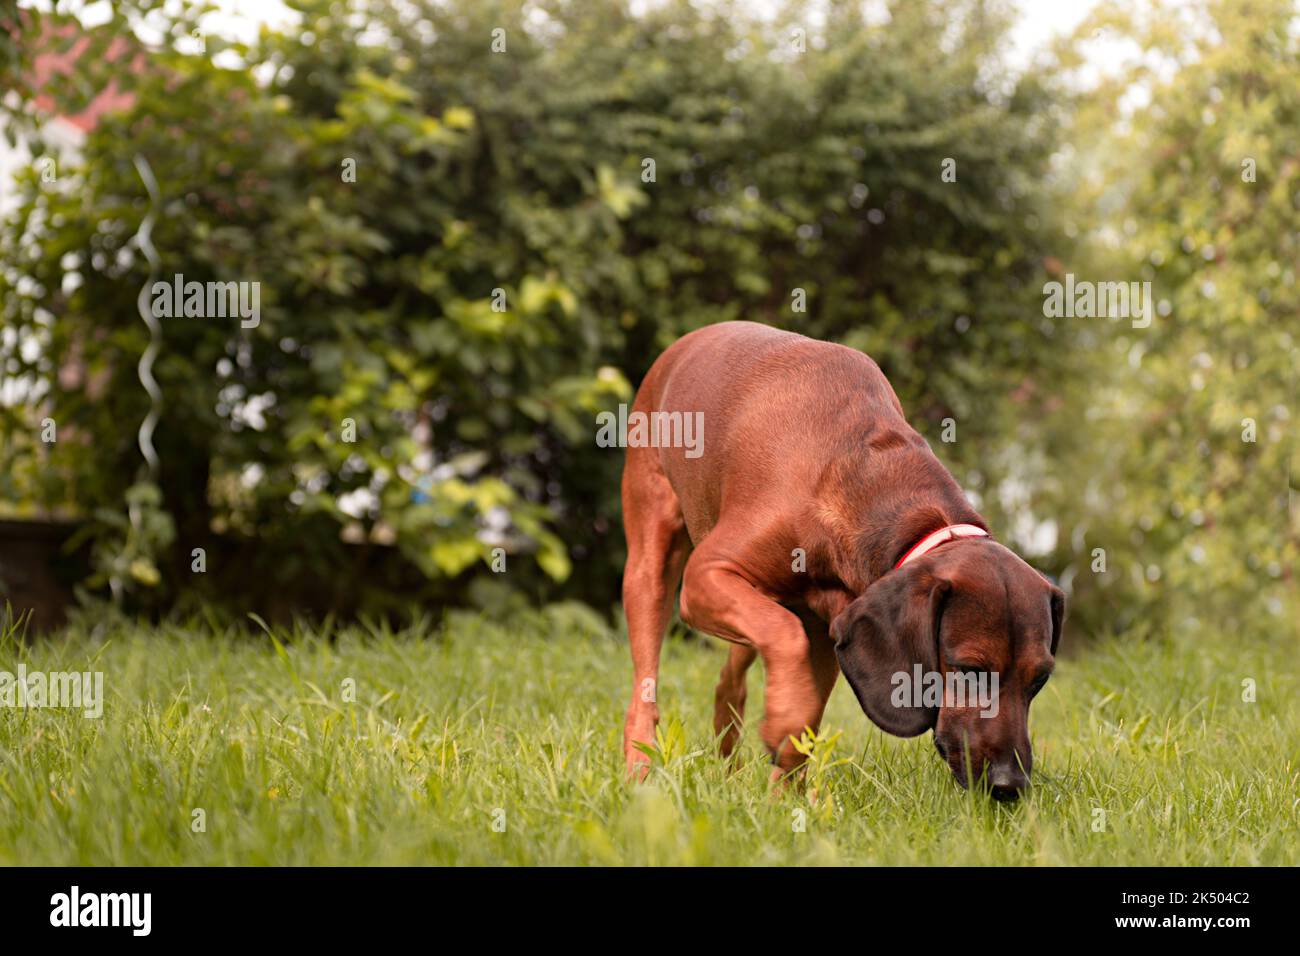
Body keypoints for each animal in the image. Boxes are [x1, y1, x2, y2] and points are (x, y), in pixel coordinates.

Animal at [621, 321, 1066, 801]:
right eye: (968, 671)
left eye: (1040, 679)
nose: (1010, 785)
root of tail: (688, 341)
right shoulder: (708, 575)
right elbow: (785, 638)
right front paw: (780, 725)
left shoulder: (829, 629)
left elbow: (806, 716)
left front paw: (782, 801)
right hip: (653, 564)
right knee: (645, 690)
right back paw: (639, 770)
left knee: (731, 678)